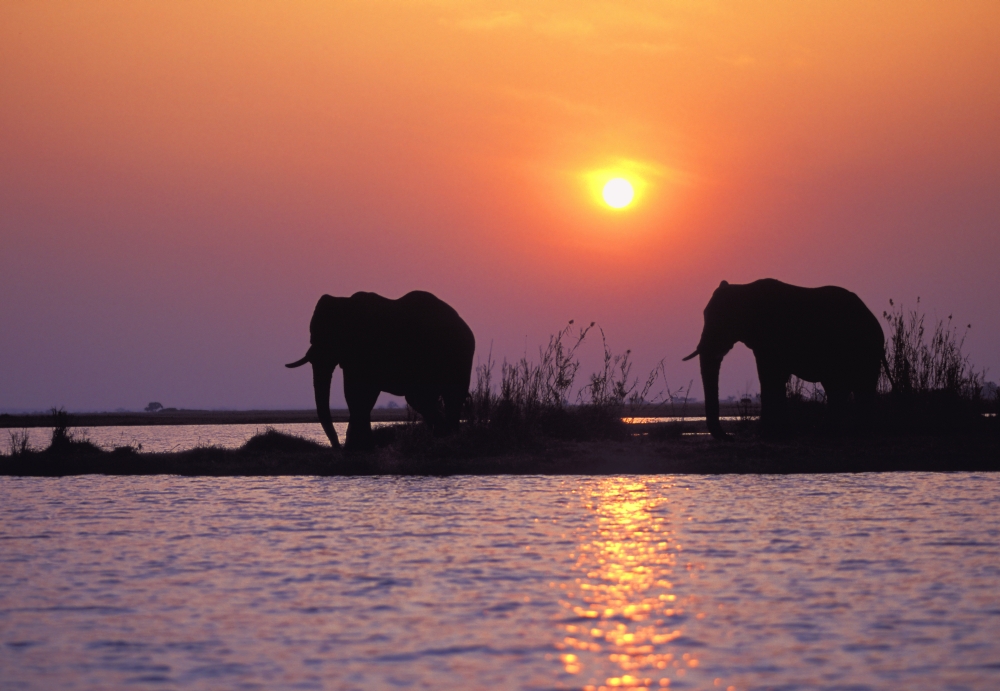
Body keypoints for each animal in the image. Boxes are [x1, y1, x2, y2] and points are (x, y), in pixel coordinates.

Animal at [286, 291, 475, 450]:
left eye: (327, 336)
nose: (337, 448)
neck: (345, 302)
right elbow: (353, 393)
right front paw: (359, 448)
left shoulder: (370, 349)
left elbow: (360, 393)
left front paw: (358, 449)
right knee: (427, 398)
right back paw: (442, 436)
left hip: (457, 356)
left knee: (442, 397)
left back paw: (447, 437)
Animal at [683, 279, 885, 439]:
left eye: (722, 321)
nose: (730, 438)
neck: (744, 288)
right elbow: (772, 377)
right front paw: (778, 434)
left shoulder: (774, 335)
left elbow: (770, 376)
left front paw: (768, 435)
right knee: (843, 388)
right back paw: (835, 434)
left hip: (865, 347)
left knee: (856, 386)